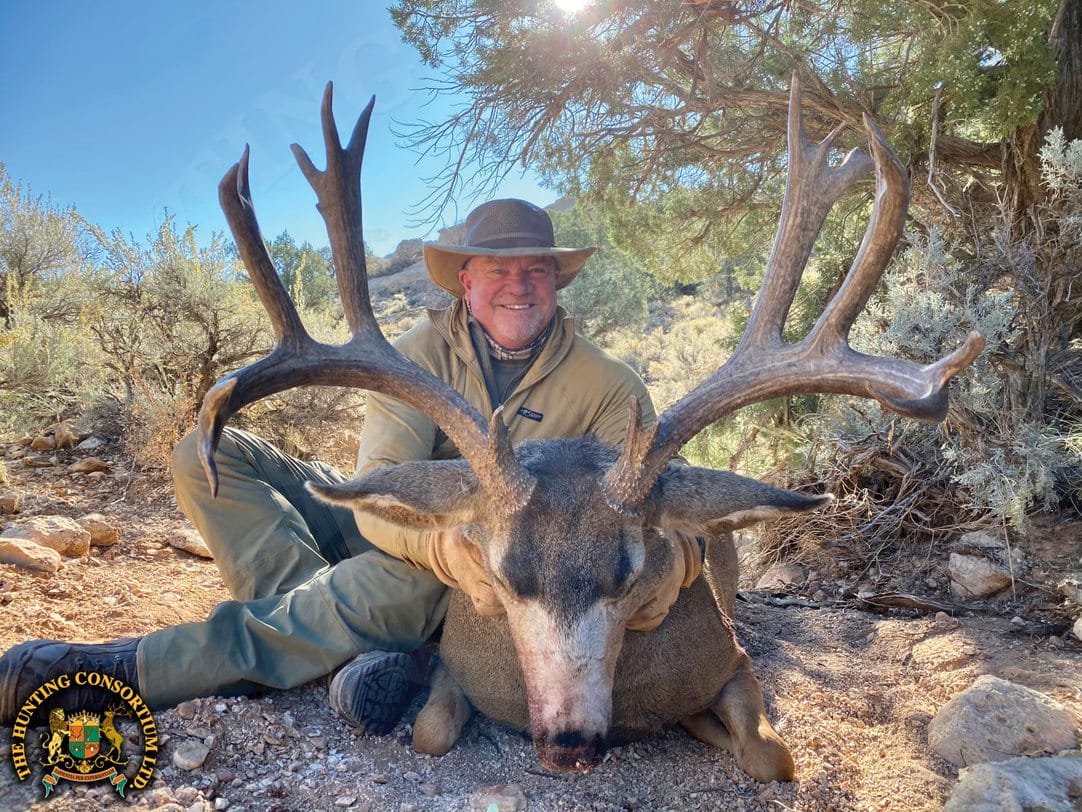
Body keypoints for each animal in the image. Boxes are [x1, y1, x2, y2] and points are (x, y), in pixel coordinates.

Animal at [194, 75, 983, 781]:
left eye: (633, 572)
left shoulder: (734, 661)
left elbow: (773, 755)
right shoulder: (456, 671)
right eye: (501, 574)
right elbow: (429, 729)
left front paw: (696, 723)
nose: (570, 743)